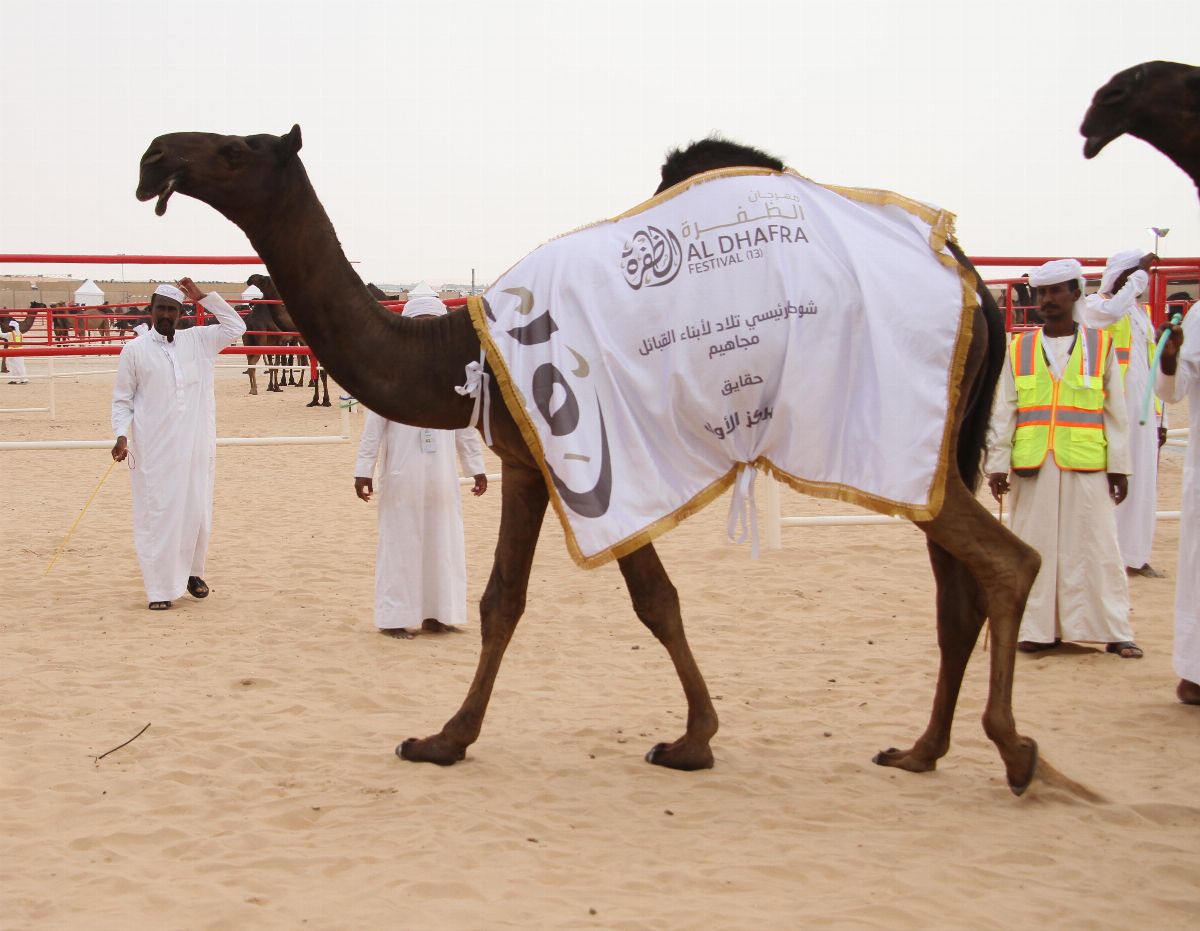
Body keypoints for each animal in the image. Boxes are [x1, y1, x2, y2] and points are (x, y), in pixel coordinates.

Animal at [136, 123, 1046, 791]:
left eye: (236, 149)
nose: (153, 157)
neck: (460, 345)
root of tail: (974, 284)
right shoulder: (537, 458)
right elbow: (558, 598)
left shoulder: (572, 454)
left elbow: (597, 600)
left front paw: (450, 737)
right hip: (932, 445)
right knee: (955, 591)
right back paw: (921, 749)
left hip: (891, 429)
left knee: (1009, 559)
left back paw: (1015, 748)